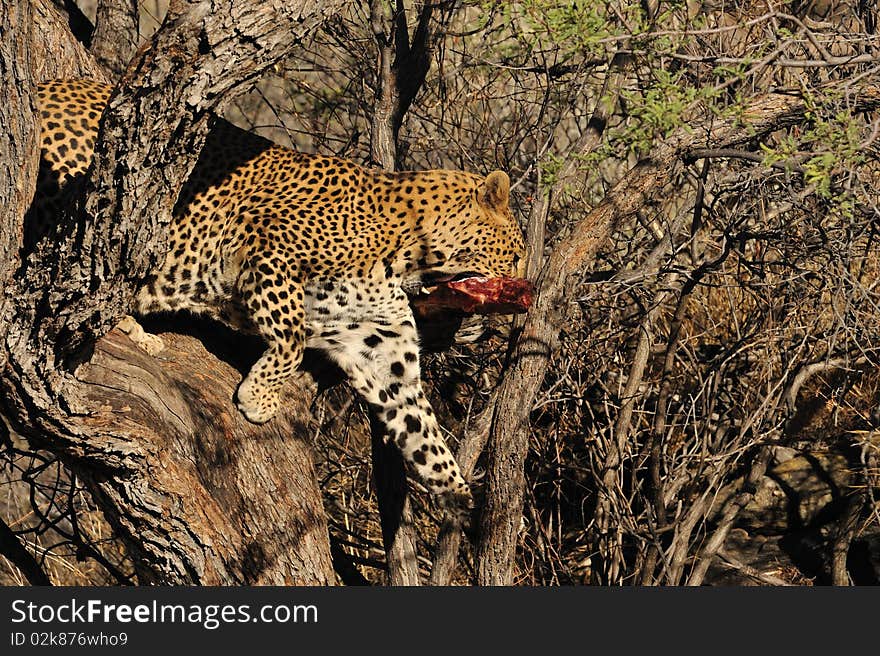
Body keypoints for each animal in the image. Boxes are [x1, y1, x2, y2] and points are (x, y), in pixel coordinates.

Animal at [31, 78, 524, 512]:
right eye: (516, 254)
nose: (527, 284)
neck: (408, 255)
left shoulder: (380, 349)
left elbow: (421, 428)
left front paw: (460, 498)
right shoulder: (267, 244)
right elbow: (291, 337)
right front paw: (260, 398)